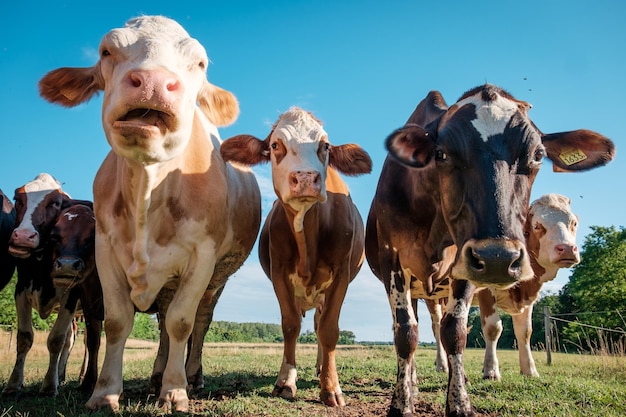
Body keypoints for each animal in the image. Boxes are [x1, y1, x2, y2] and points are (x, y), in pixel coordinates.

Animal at [37, 15, 260, 410]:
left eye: (199, 63)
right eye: (106, 51)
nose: (154, 81)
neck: (148, 187)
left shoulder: (202, 258)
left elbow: (182, 323)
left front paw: (174, 391)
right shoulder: (105, 253)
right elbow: (117, 323)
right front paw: (105, 392)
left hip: (218, 278)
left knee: (199, 320)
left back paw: (191, 376)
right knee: (163, 322)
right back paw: (157, 376)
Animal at [221, 106, 370, 406]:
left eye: (325, 145)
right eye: (275, 145)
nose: (305, 178)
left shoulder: (341, 275)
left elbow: (329, 330)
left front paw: (331, 387)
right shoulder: (279, 273)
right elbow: (290, 325)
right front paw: (285, 381)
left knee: (320, 323)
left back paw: (322, 368)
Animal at [478, 193, 576, 378]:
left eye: (574, 223)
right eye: (537, 225)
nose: (567, 249)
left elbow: (524, 331)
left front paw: (529, 370)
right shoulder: (486, 290)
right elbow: (493, 328)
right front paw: (491, 371)